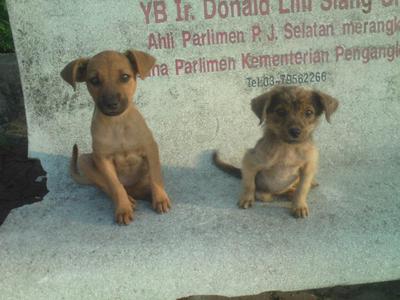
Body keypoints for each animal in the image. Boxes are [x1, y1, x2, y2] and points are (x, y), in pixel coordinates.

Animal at [61, 49, 170, 224]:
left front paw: (160, 199)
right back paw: (129, 200)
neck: (117, 124)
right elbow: (115, 186)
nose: (112, 104)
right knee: (108, 187)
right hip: (84, 160)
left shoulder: (150, 148)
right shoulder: (102, 159)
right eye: (94, 80)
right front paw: (123, 209)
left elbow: (156, 177)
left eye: (125, 77)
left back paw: (148, 194)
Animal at [212, 85, 338, 217]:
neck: (288, 148)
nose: (295, 132)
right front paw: (246, 198)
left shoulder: (308, 168)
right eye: (280, 112)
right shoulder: (249, 160)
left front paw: (299, 206)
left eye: (308, 112)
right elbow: (248, 184)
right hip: (264, 193)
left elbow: (302, 189)